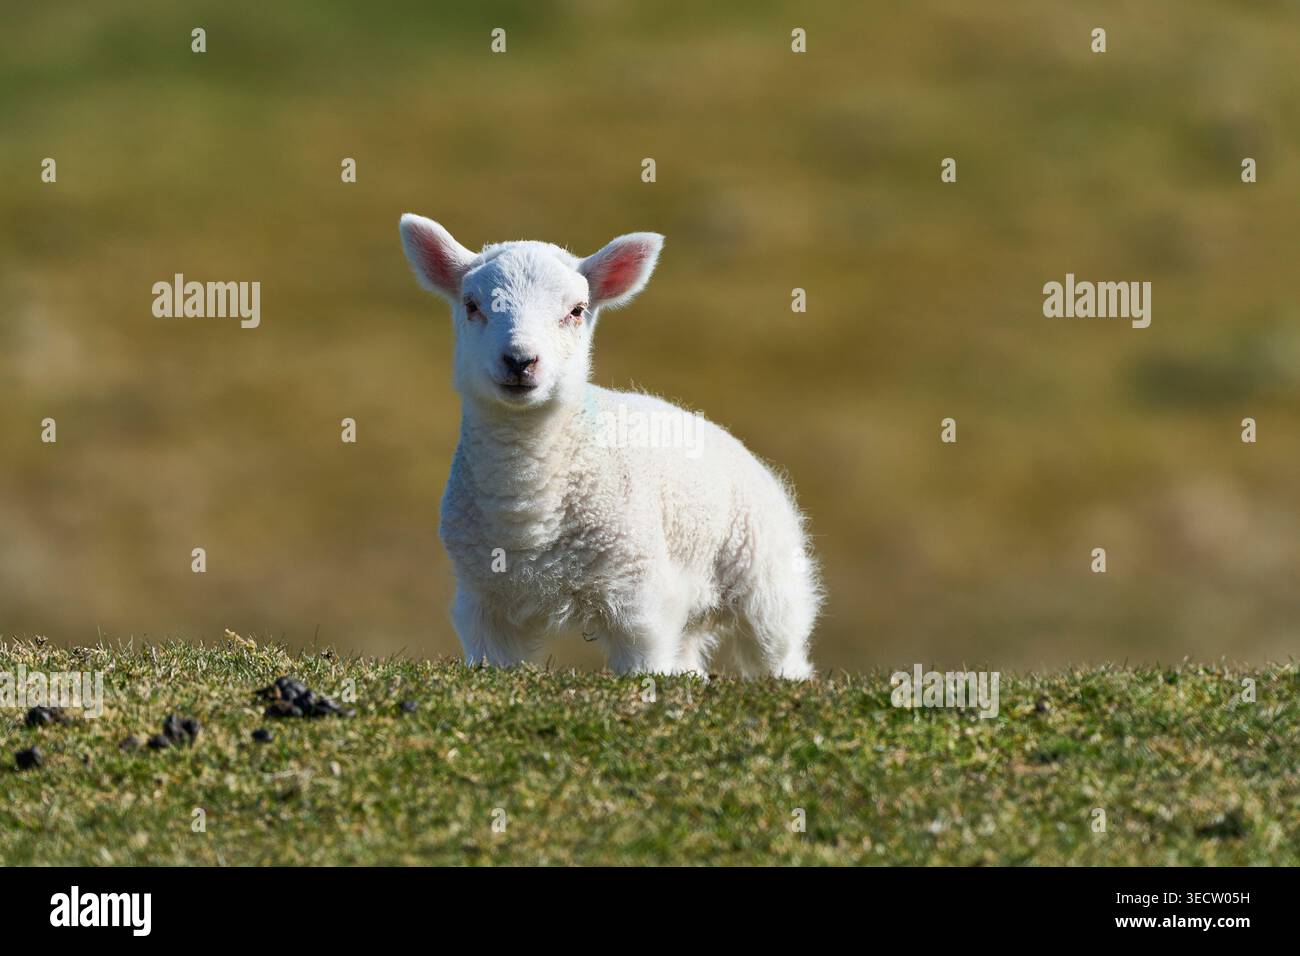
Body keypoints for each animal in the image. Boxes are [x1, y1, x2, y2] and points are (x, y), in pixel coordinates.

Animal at [399, 214, 822, 678]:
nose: (520, 361)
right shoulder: (483, 605)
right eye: (472, 305)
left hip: (767, 581)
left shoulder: (639, 598)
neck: (528, 512)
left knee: (780, 651)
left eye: (576, 310)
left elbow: (645, 665)